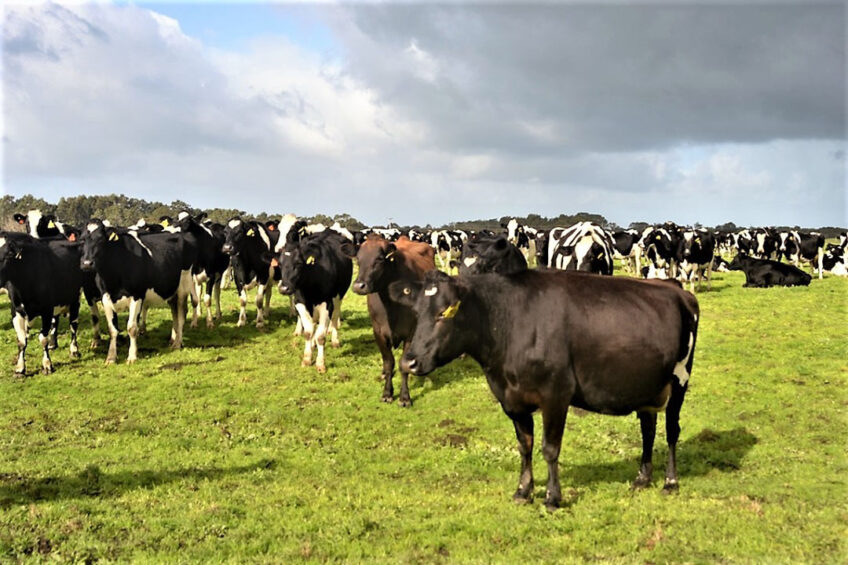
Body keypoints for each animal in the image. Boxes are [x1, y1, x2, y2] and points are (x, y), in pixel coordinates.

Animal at [78, 218, 194, 364]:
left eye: (101, 240)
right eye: (82, 240)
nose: (87, 264)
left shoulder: (137, 296)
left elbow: (132, 327)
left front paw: (132, 356)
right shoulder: (106, 297)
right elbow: (112, 329)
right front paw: (111, 357)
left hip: (183, 286)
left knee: (181, 313)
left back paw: (178, 343)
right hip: (170, 289)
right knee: (174, 312)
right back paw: (172, 339)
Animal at [272, 229, 352, 370]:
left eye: (298, 264)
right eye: (280, 264)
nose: (284, 288)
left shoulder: (327, 304)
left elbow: (321, 336)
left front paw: (320, 363)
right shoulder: (300, 302)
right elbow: (308, 332)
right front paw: (307, 358)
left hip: (339, 296)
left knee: (335, 316)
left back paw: (334, 340)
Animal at [390, 268, 696, 506]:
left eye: (444, 313)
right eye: (417, 312)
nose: (409, 361)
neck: (508, 323)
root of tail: (676, 289)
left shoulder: (556, 394)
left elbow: (550, 449)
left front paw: (552, 497)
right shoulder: (512, 399)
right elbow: (524, 446)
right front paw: (523, 491)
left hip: (679, 380)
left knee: (672, 431)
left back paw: (670, 481)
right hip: (648, 386)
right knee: (648, 429)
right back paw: (642, 478)